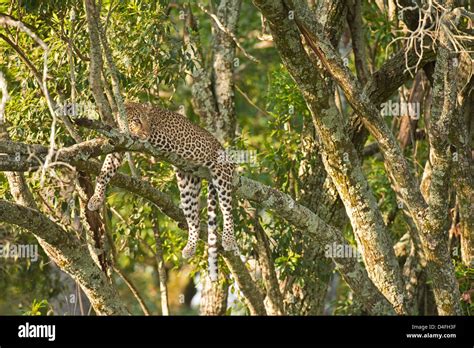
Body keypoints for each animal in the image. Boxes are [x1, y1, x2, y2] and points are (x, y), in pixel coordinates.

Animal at [87, 102, 239, 282]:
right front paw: (96, 198)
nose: (145, 132)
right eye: (137, 120)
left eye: (149, 122)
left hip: (222, 173)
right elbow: (105, 170)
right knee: (193, 217)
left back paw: (229, 239)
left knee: (226, 208)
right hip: (187, 182)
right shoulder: (118, 144)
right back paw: (190, 248)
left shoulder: (161, 137)